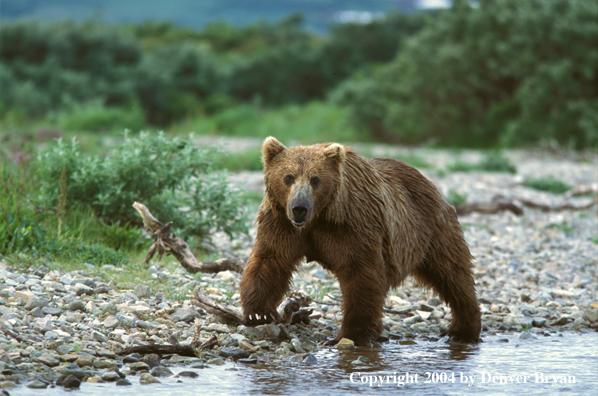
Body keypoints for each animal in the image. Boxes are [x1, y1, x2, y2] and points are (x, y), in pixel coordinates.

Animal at [239, 138, 482, 344]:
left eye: (315, 179)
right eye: (288, 177)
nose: (300, 208)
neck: (320, 217)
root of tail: (431, 185)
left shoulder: (354, 226)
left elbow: (361, 274)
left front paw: (352, 334)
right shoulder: (281, 223)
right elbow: (269, 260)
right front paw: (259, 313)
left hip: (430, 231)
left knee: (453, 274)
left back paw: (463, 330)